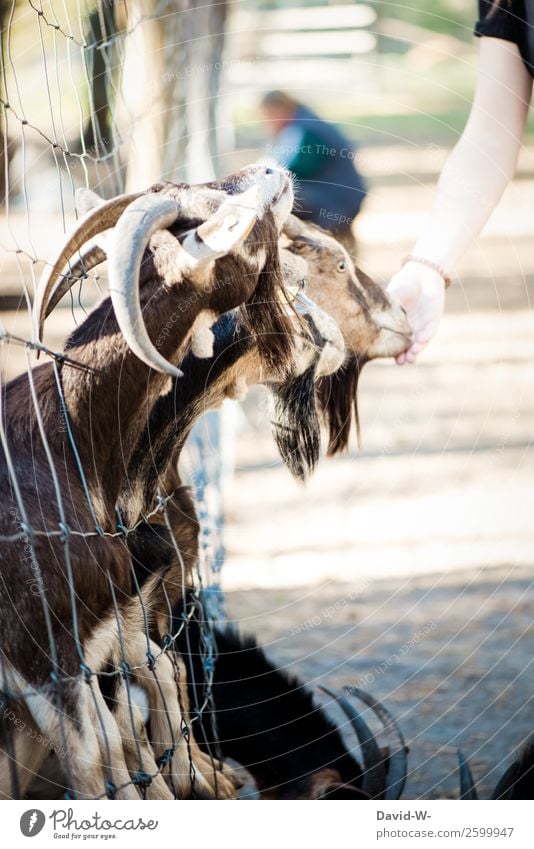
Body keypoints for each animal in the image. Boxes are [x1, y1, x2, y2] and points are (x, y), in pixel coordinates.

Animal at [0, 162, 298, 800]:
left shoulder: (105, 629)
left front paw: (202, 779)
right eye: (227, 224)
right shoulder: (44, 655)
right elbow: (97, 756)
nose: (271, 170)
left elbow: (132, 715)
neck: (63, 441)